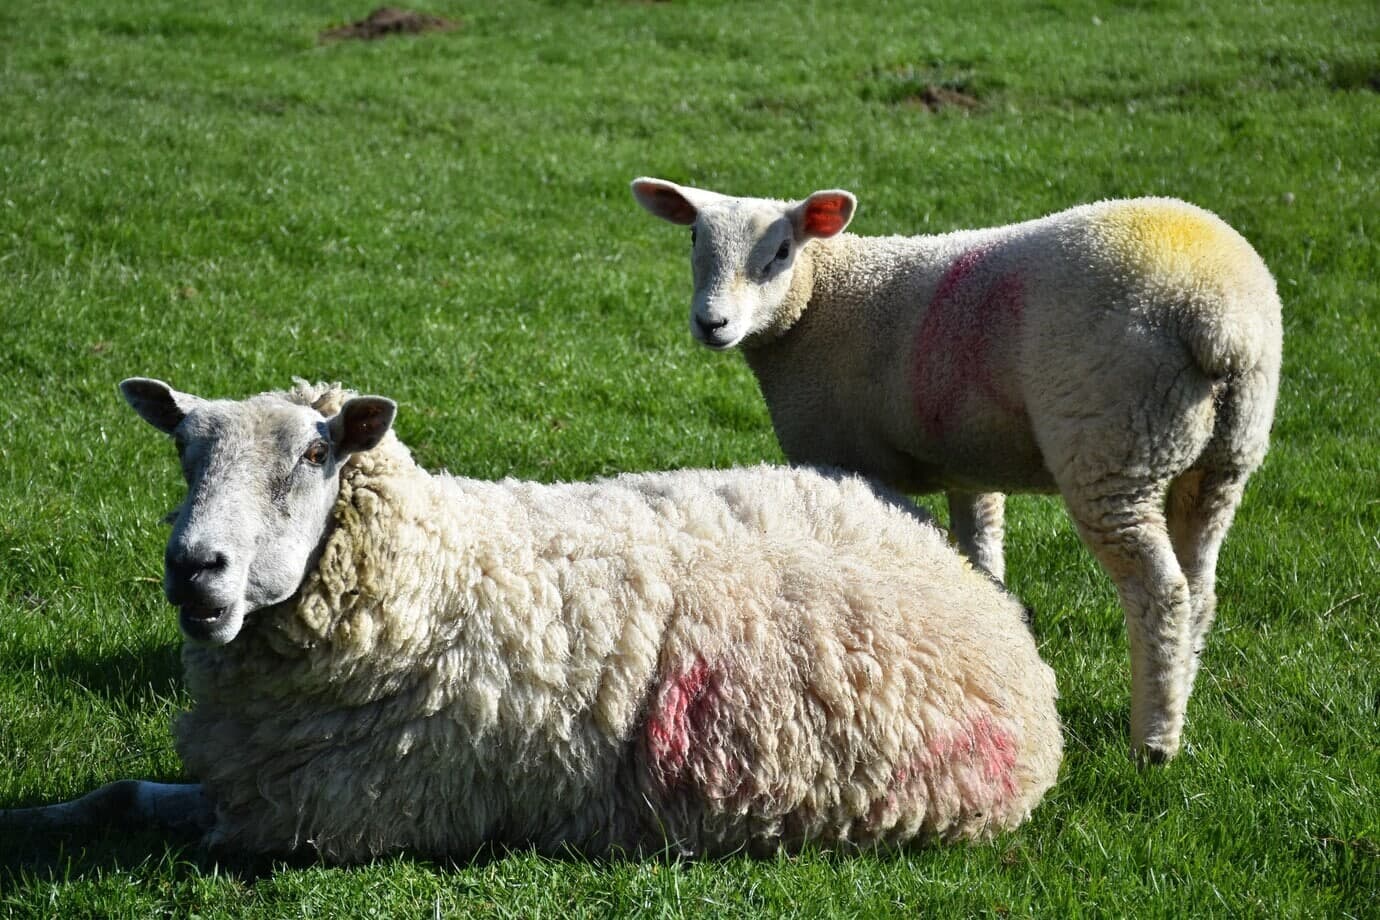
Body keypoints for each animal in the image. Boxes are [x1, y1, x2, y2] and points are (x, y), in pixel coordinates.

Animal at [0, 378, 1061, 863]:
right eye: (184, 450)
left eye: (312, 457)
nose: (195, 570)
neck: (433, 578)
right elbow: (115, 798)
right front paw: (34, 819)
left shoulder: (315, 823)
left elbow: (156, 822)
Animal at [631, 178, 1282, 764]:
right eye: (694, 238)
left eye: (782, 251)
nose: (710, 323)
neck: (819, 303)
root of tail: (1219, 320)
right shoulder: (969, 460)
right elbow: (982, 550)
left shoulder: (844, 461)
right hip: (1225, 454)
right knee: (1200, 585)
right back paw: (1180, 703)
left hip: (1113, 441)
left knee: (1160, 593)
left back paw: (1152, 742)